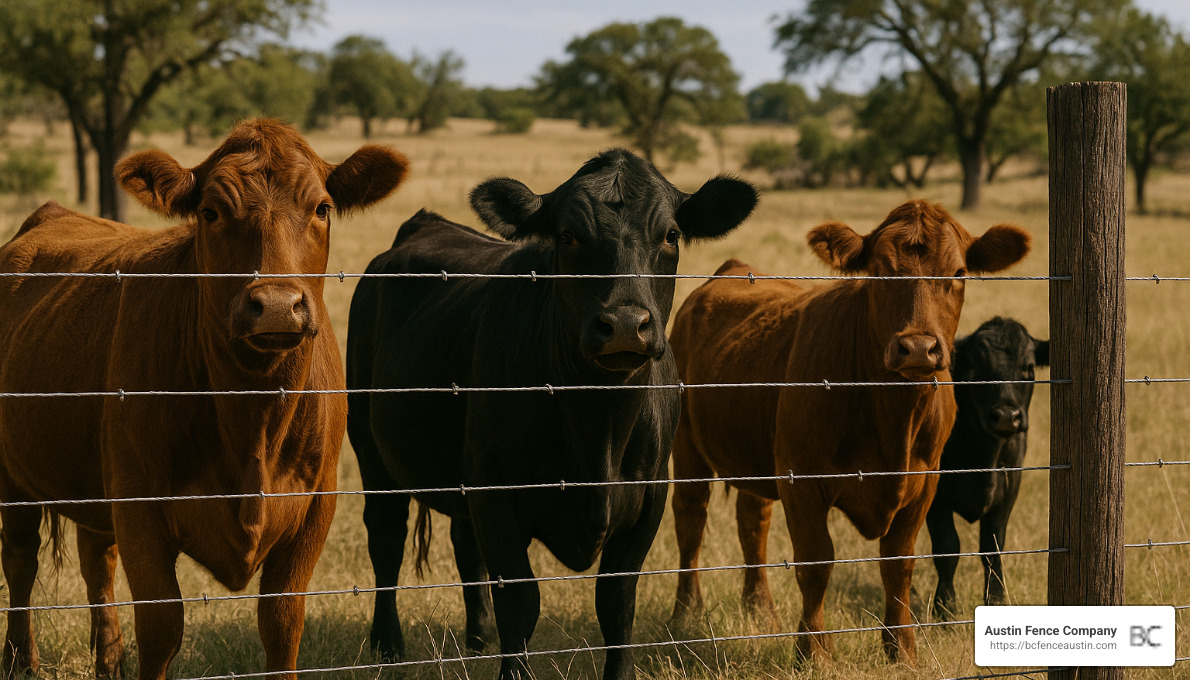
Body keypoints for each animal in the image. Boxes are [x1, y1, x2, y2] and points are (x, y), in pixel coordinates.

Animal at [0, 119, 408, 680]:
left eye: (322, 208)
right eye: (211, 211)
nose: (276, 305)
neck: (252, 418)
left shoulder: (316, 507)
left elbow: (283, 622)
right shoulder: (139, 508)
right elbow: (162, 626)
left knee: (96, 558)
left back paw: (109, 660)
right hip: (14, 477)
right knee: (21, 560)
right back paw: (21, 661)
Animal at [346, 148, 757, 680]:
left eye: (670, 234)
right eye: (567, 235)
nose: (625, 324)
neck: (598, 427)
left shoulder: (649, 498)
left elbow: (616, 604)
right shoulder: (497, 497)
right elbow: (521, 603)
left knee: (465, 547)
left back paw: (477, 640)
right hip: (371, 450)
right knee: (387, 538)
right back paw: (388, 644)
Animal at [667, 200, 1031, 664]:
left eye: (959, 272)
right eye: (878, 271)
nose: (918, 348)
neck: (892, 419)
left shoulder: (926, 483)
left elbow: (899, 563)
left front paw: (901, 650)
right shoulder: (801, 480)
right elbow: (816, 561)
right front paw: (813, 651)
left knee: (753, 521)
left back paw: (760, 611)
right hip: (686, 445)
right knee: (690, 520)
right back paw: (686, 614)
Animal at [927, 316, 1048, 617]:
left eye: (1028, 367)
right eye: (975, 368)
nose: (1006, 416)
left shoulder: (1008, 491)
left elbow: (992, 550)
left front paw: (996, 600)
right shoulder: (936, 496)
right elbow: (947, 548)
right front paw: (945, 608)